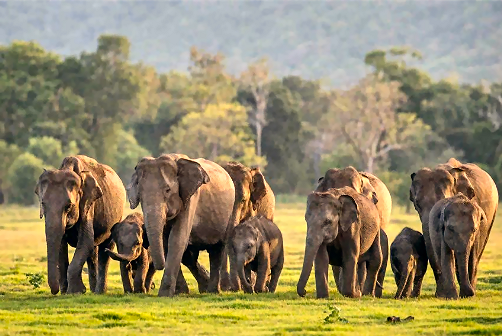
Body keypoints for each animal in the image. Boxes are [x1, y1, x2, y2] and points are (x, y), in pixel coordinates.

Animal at [34, 155, 125, 294]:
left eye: (68, 206)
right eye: (43, 204)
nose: (55, 291)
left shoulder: (88, 204)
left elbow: (85, 241)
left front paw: (76, 292)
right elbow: (61, 245)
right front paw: (65, 292)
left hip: (117, 217)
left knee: (105, 248)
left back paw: (99, 292)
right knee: (93, 251)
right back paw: (93, 290)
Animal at [125, 154, 235, 298]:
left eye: (167, 190)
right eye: (140, 194)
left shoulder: (191, 197)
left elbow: (177, 239)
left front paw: (165, 294)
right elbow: (166, 241)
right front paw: (180, 292)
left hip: (228, 213)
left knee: (217, 249)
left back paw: (212, 291)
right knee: (191, 256)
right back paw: (204, 287)